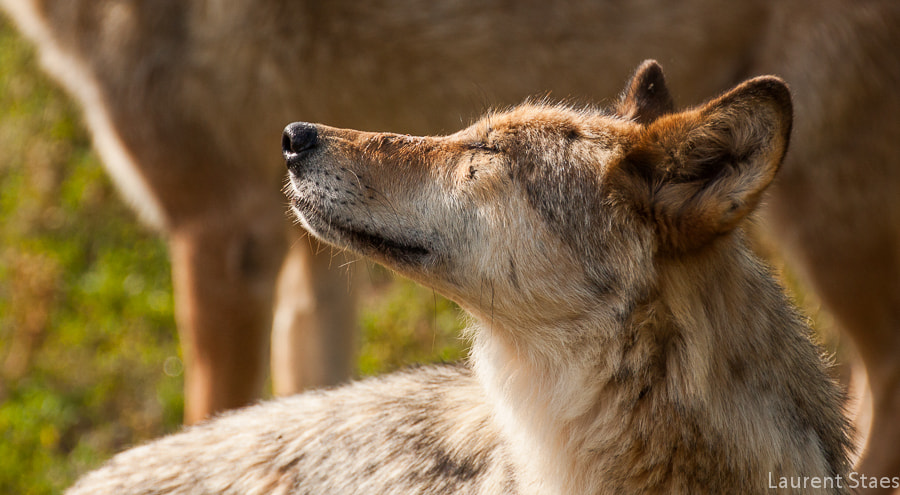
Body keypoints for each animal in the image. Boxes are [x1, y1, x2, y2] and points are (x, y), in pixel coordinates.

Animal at [1, 0, 900, 488]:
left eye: (483, 152)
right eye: (466, 130)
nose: (292, 136)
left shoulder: (222, 236)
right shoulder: (302, 276)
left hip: (835, 228)